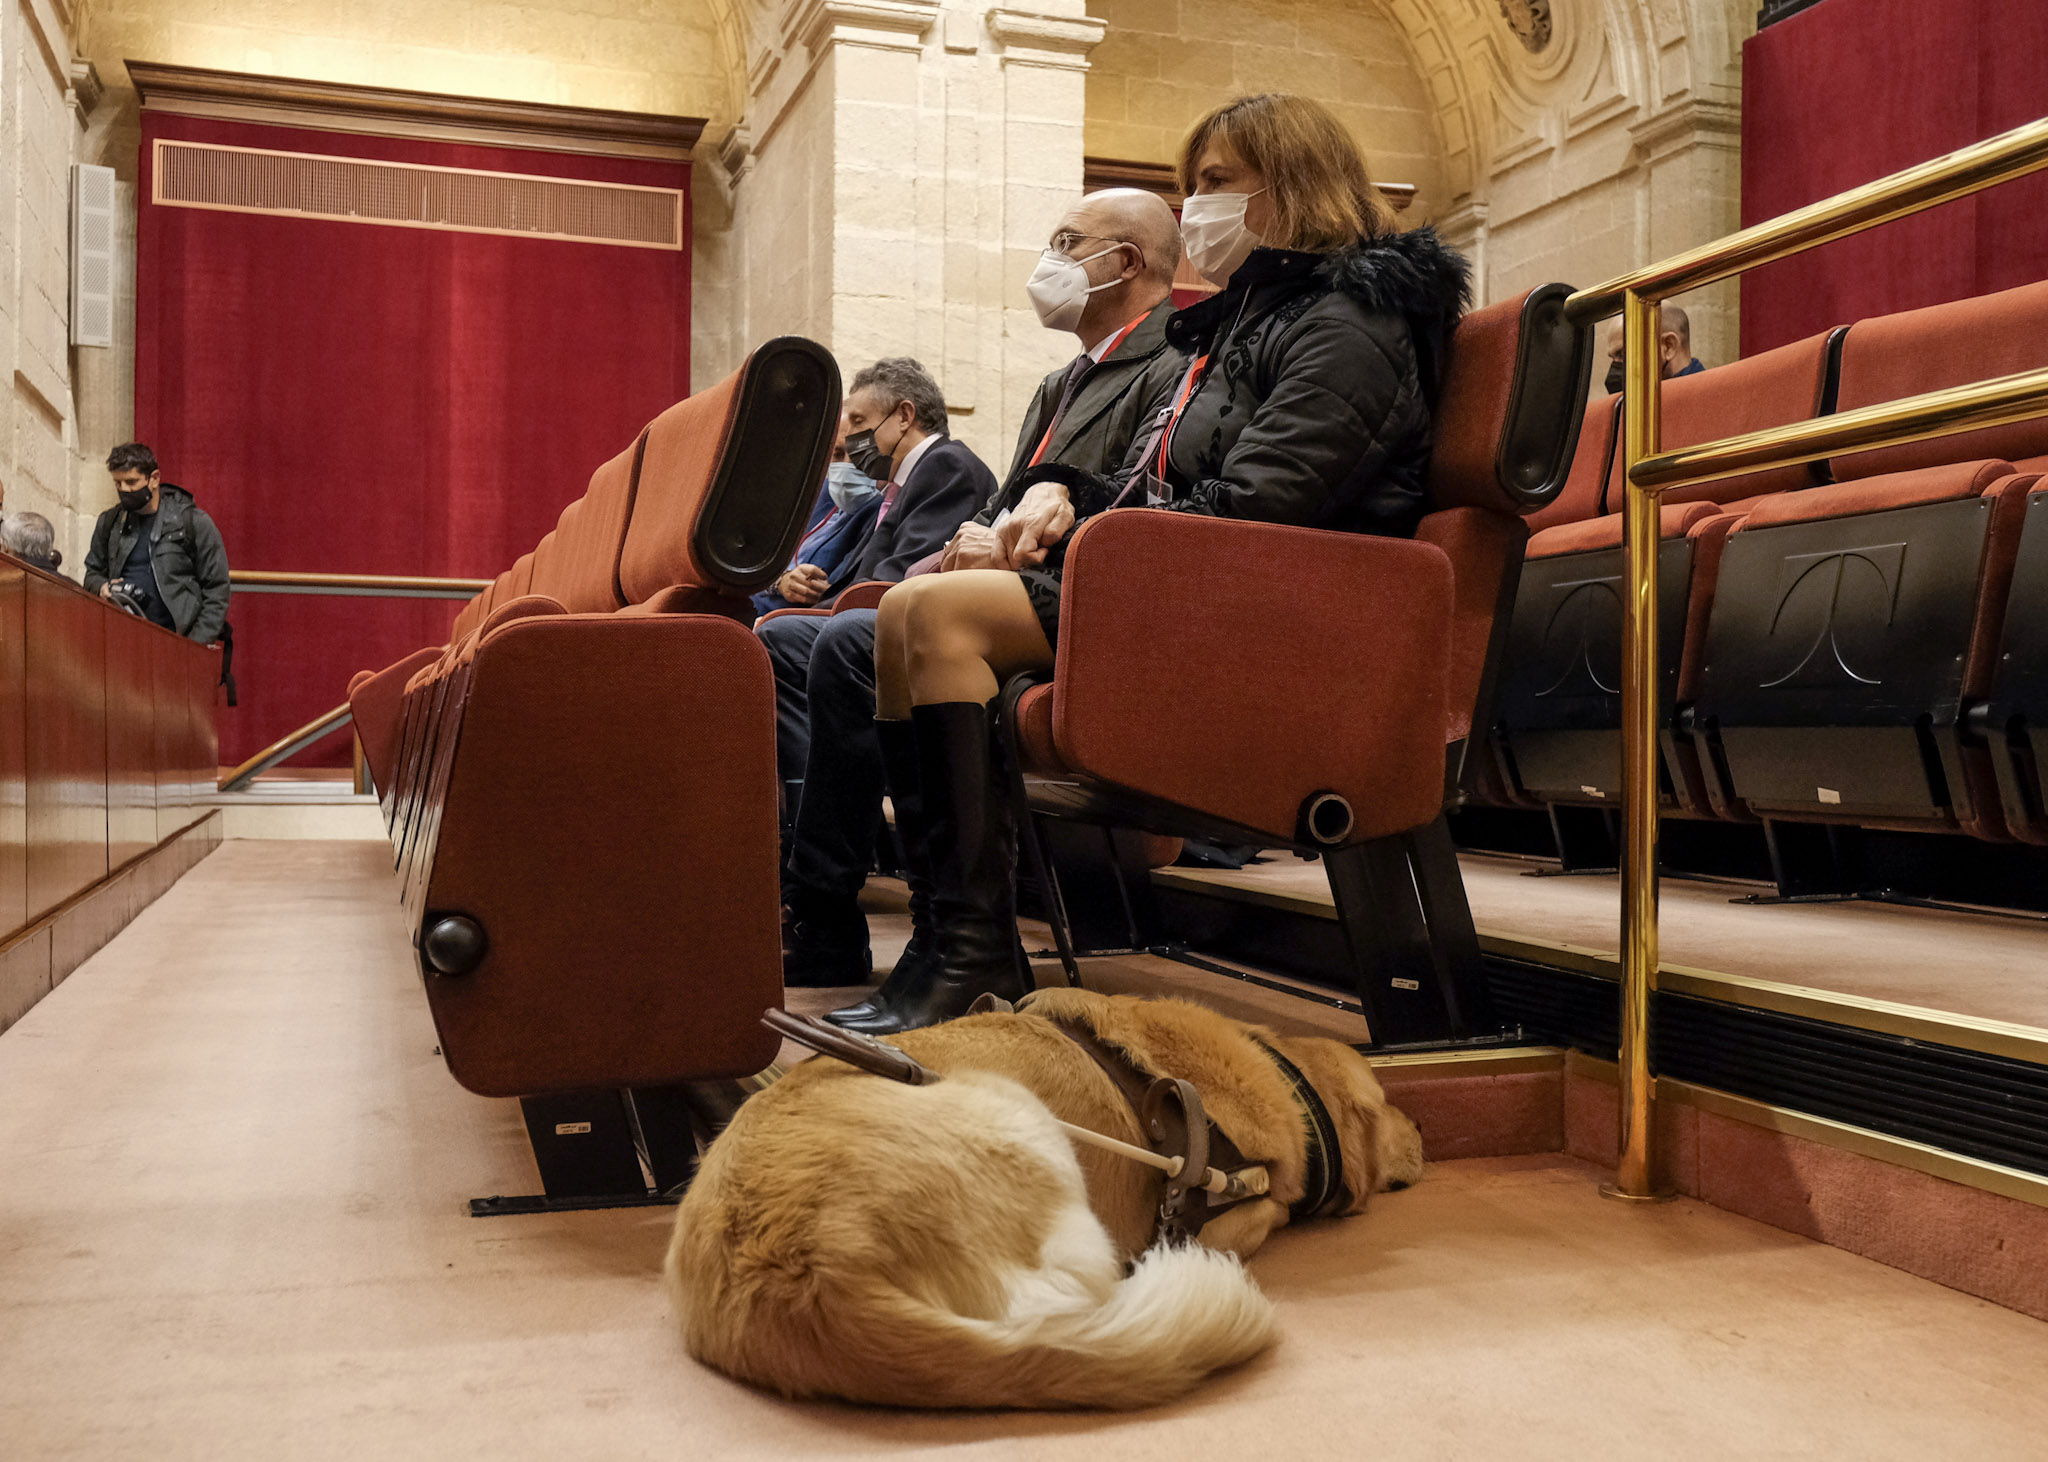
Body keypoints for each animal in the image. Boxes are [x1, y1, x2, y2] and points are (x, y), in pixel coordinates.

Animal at [663, 986, 1417, 1408]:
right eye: (1388, 1102)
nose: (1423, 1134)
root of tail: (811, 1281)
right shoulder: (1232, 1214)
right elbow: (1268, 1210)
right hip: (1028, 1128)